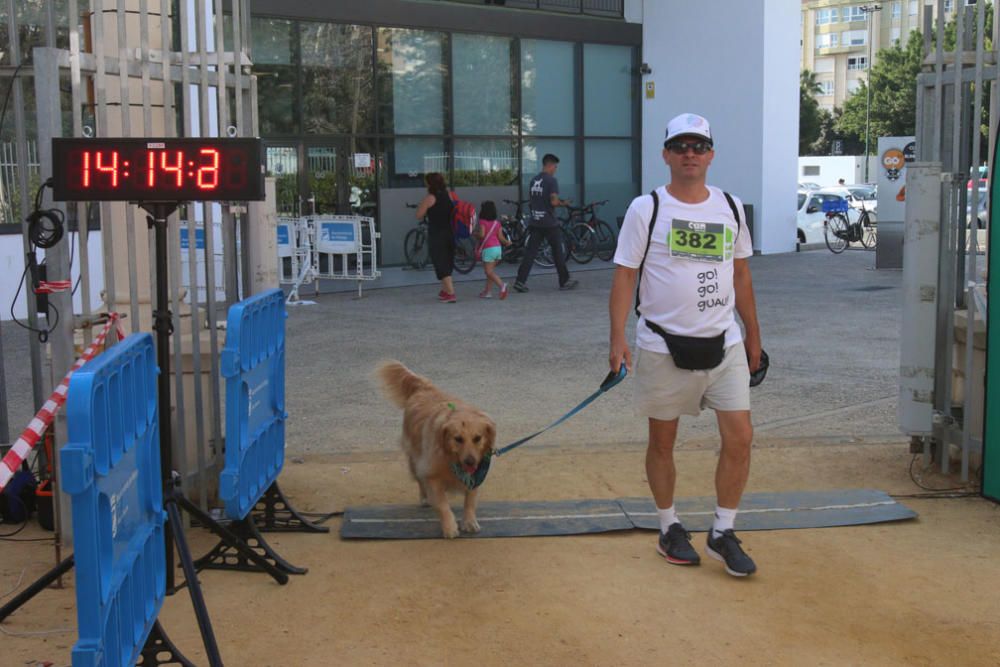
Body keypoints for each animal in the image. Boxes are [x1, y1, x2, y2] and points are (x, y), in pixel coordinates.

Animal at [378, 360, 496, 536]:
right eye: (458, 439)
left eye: (477, 438)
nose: (470, 462)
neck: (451, 459)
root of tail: (423, 387)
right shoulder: (431, 475)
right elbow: (442, 504)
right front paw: (449, 527)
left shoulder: (476, 475)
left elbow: (470, 500)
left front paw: (469, 521)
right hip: (415, 459)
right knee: (420, 481)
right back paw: (425, 498)